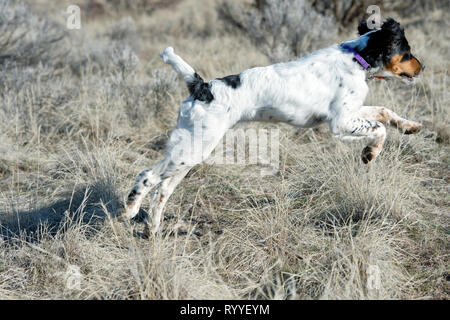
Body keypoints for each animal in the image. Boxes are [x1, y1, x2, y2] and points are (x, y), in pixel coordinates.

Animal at [121, 19, 424, 235]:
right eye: (407, 52)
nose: (422, 67)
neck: (357, 58)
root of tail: (203, 87)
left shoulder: (348, 113)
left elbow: (385, 111)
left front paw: (409, 126)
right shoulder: (340, 122)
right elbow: (379, 128)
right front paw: (370, 153)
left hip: (190, 150)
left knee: (162, 189)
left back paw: (152, 228)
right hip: (193, 148)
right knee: (147, 176)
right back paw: (130, 209)